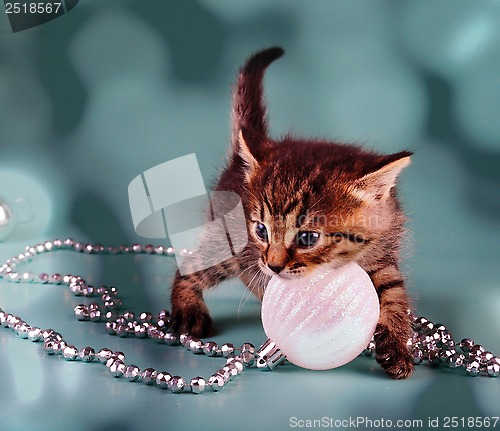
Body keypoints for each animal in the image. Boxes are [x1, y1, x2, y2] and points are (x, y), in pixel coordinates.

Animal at [172, 46, 414, 378]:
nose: (273, 266)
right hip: (229, 246)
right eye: (261, 230)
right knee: (191, 265)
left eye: (308, 238)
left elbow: (394, 295)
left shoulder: (383, 255)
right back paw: (189, 309)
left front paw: (397, 346)